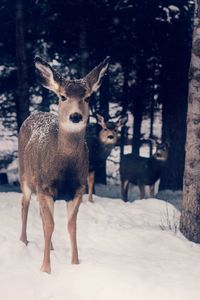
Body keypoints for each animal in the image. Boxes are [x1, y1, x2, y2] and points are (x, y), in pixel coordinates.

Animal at [18, 55, 109, 274]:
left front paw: (75, 264)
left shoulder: (77, 189)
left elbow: (71, 226)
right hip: (25, 176)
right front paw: (45, 269)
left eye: (87, 98)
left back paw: (49, 246)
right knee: (24, 205)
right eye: (62, 97)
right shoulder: (44, 187)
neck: (64, 169)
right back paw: (23, 241)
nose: (75, 116)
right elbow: (50, 225)